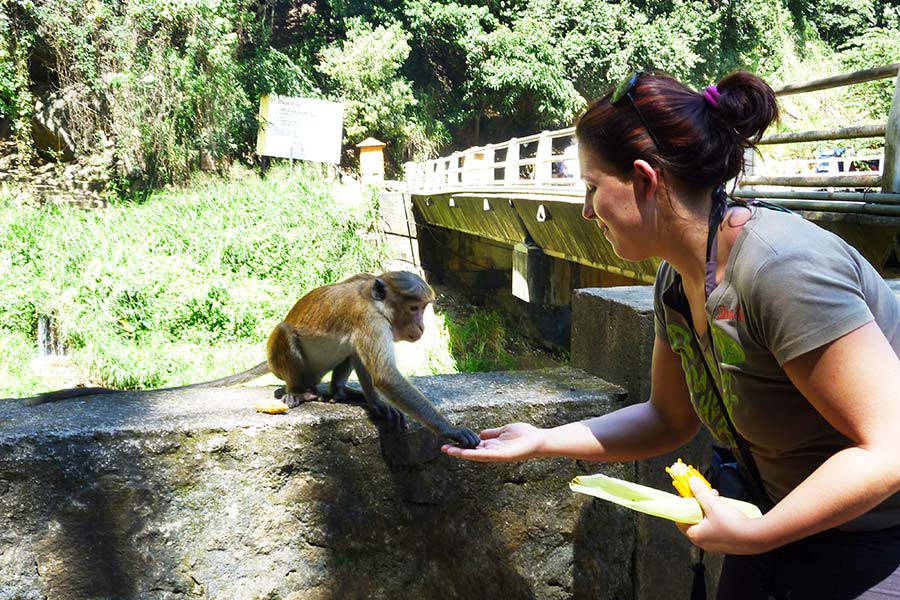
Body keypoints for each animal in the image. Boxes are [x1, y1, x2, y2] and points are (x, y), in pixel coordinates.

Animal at [24, 272, 482, 450]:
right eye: (415, 308)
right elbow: (385, 372)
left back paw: (337, 392)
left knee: (347, 353)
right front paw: (449, 428)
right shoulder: (369, 320)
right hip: (287, 360)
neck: (377, 299)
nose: (422, 327)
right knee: (284, 334)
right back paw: (300, 392)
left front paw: (375, 403)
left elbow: (372, 367)